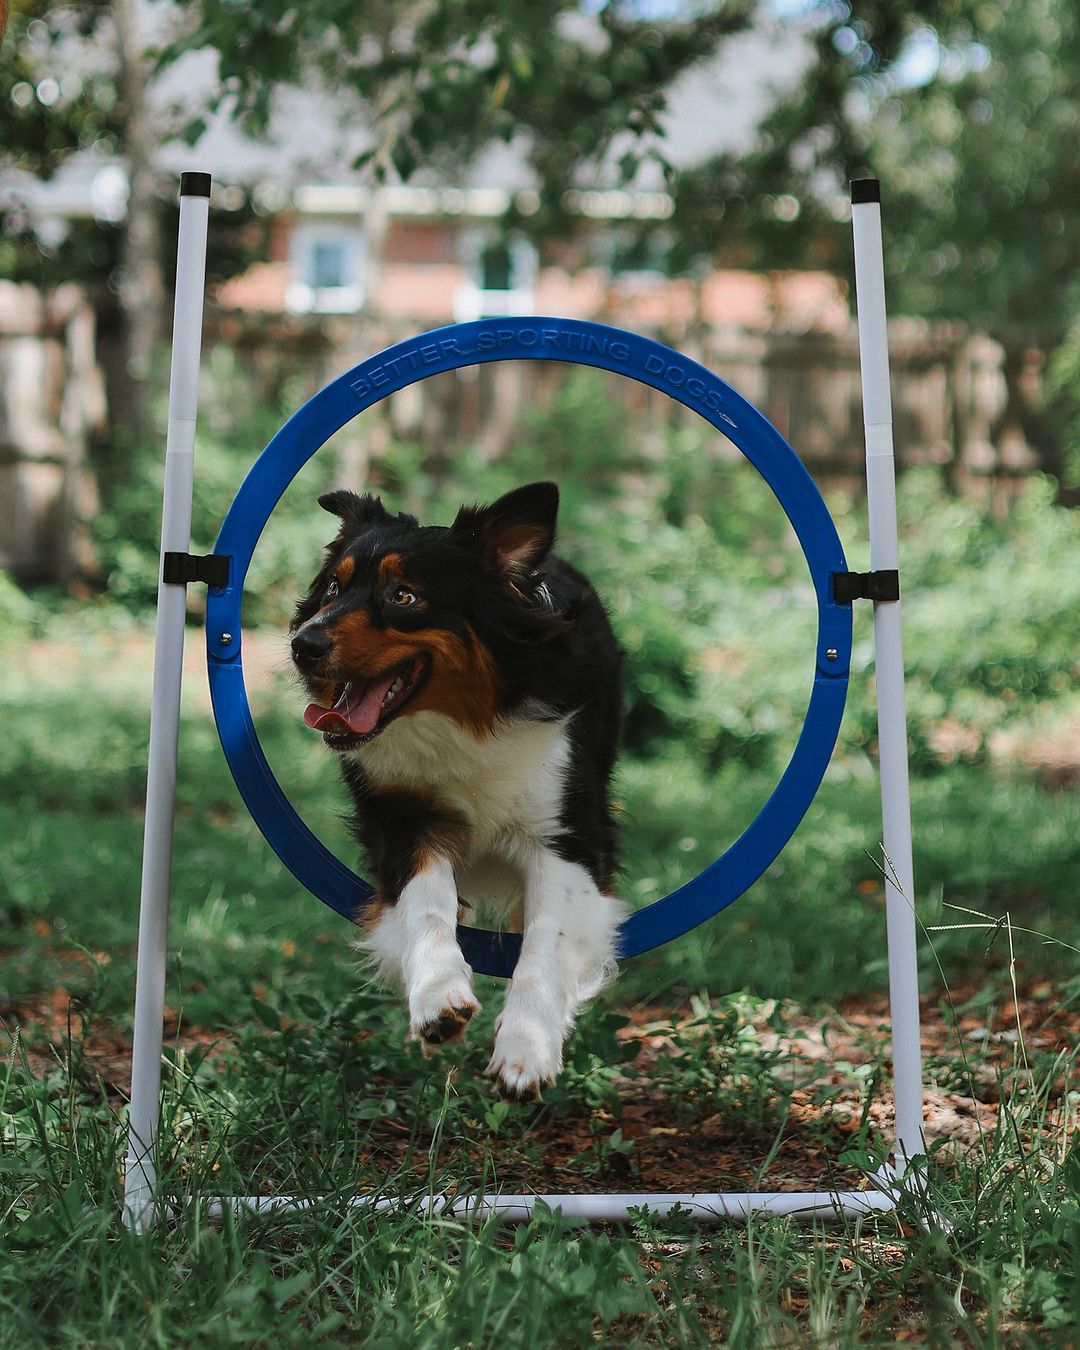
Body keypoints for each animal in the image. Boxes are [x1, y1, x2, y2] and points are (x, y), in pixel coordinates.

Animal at [288, 483, 623, 1096]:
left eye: (403, 596)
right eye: (333, 587)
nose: (303, 644)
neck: (464, 726)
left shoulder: (566, 835)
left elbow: (547, 936)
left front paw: (526, 1047)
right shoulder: (402, 819)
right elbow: (426, 903)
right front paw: (438, 995)